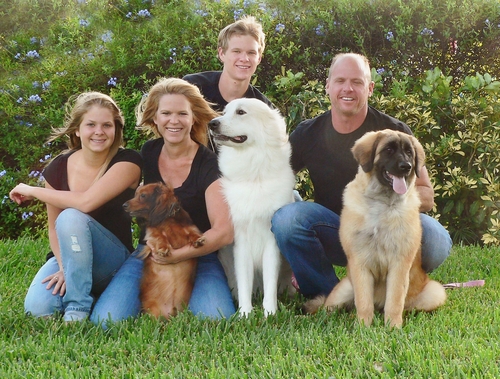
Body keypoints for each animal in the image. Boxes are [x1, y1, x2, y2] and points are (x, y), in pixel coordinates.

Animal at [208, 98, 296, 318]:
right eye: (225, 112)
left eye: (241, 112)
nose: (212, 123)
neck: (254, 176)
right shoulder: (241, 243)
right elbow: (244, 284)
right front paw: (245, 314)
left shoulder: (271, 243)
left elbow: (270, 282)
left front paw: (269, 313)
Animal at [302, 130, 448, 326]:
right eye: (388, 150)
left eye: (409, 153)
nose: (407, 167)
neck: (383, 203)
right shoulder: (359, 264)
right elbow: (363, 301)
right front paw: (363, 326)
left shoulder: (399, 265)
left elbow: (395, 301)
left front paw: (393, 326)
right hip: (343, 289)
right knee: (330, 308)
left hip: (435, 292)